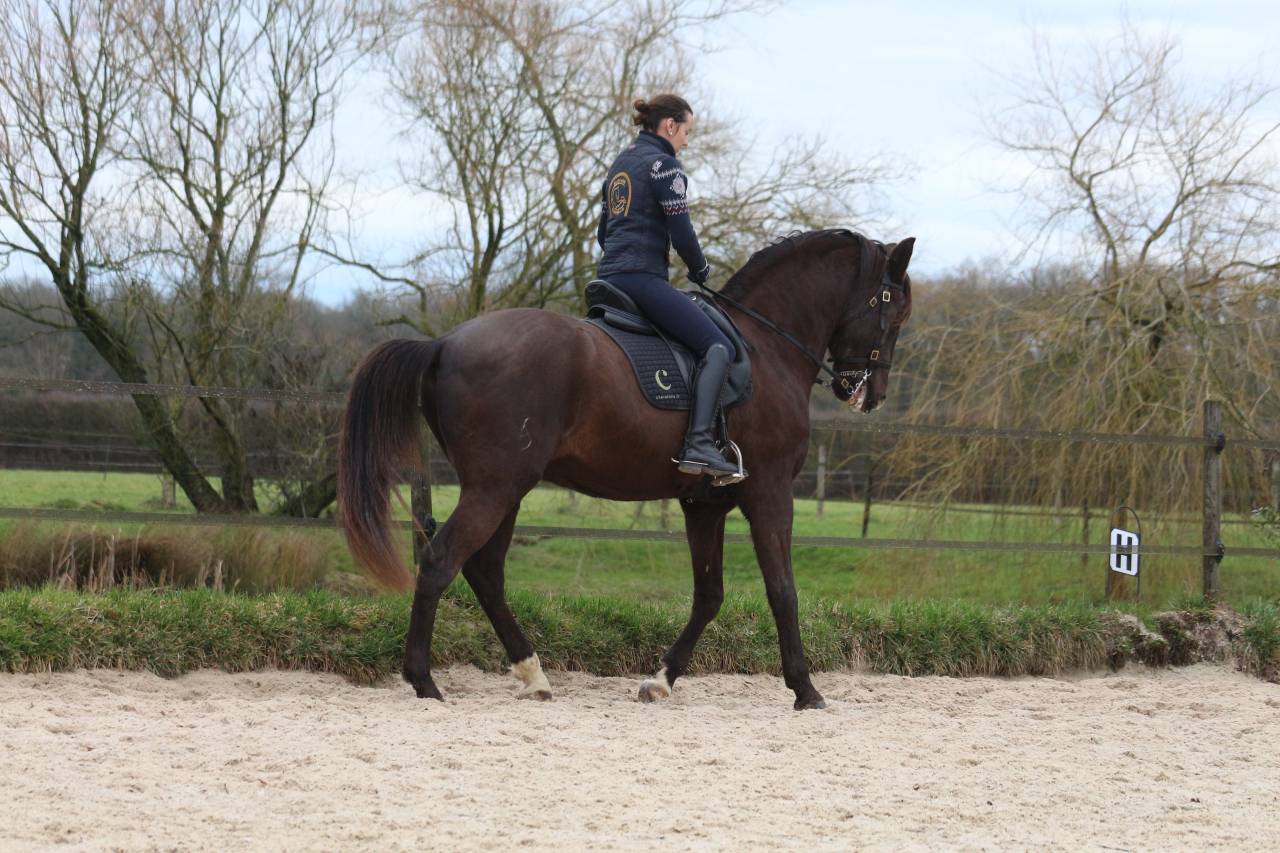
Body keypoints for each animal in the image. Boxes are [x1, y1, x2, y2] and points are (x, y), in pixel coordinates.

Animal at [338, 229, 915, 710]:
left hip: (506, 490)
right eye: (895, 313)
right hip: (495, 488)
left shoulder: (704, 505)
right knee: (441, 562)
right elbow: (782, 590)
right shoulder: (770, 494)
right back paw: (424, 681)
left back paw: (532, 675)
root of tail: (443, 343)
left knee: (484, 572)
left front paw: (660, 680)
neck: (767, 345)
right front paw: (805, 689)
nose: (872, 394)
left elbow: (709, 596)